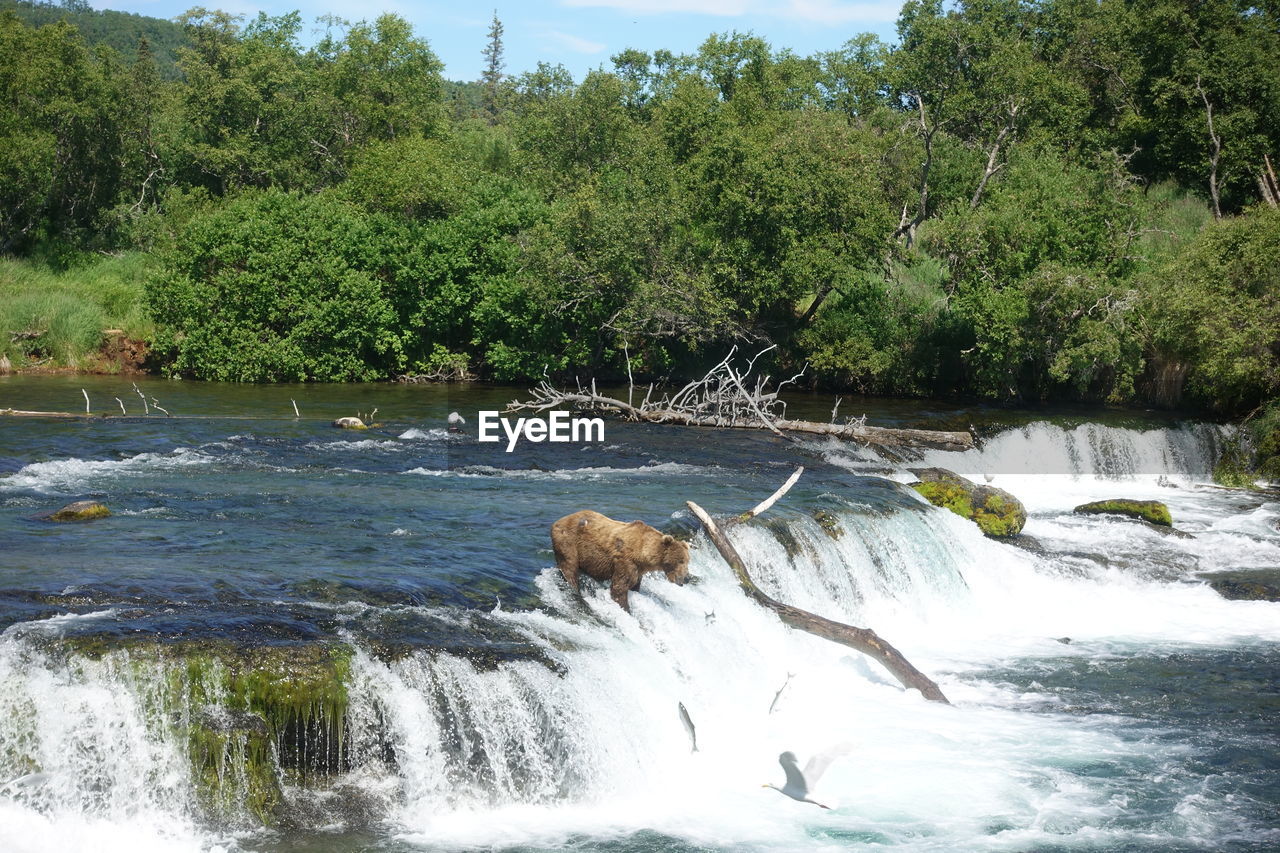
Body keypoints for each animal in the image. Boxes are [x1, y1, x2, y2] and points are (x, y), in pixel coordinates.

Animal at [550, 507, 691, 607]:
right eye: (681, 561)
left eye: (688, 561)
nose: (687, 578)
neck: (643, 555)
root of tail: (557, 521)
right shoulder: (625, 561)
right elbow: (619, 588)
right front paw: (625, 608)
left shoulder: (638, 570)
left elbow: (634, 585)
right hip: (568, 541)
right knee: (569, 567)